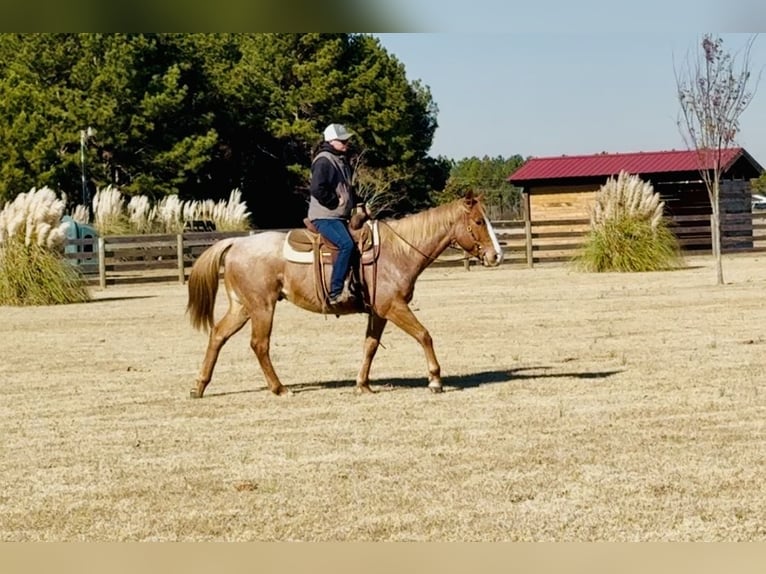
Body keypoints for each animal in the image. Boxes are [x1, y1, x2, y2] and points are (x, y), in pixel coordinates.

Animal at [186, 192, 504, 397]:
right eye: (478, 221)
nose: (496, 255)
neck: (398, 251)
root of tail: (236, 243)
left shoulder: (379, 312)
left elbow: (370, 346)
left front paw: (363, 384)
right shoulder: (394, 307)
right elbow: (424, 335)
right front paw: (435, 380)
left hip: (242, 307)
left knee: (218, 335)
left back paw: (199, 386)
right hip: (262, 307)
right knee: (259, 345)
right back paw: (279, 388)